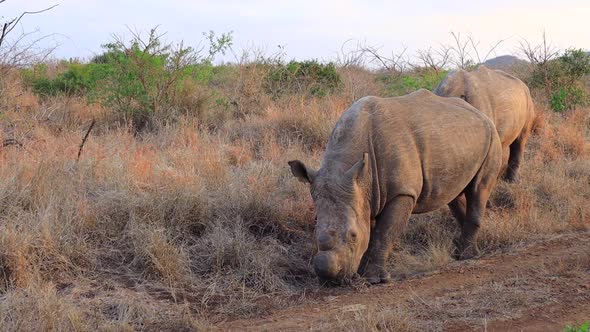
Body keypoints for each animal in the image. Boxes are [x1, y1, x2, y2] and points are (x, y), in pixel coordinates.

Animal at [290, 89, 502, 284]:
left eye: (353, 236)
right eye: (315, 226)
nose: (329, 277)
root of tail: (479, 111)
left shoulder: (401, 193)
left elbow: (384, 233)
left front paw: (374, 279)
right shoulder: (364, 192)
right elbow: (372, 231)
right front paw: (363, 274)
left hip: (492, 136)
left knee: (478, 189)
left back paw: (467, 256)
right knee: (454, 193)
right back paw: (460, 251)